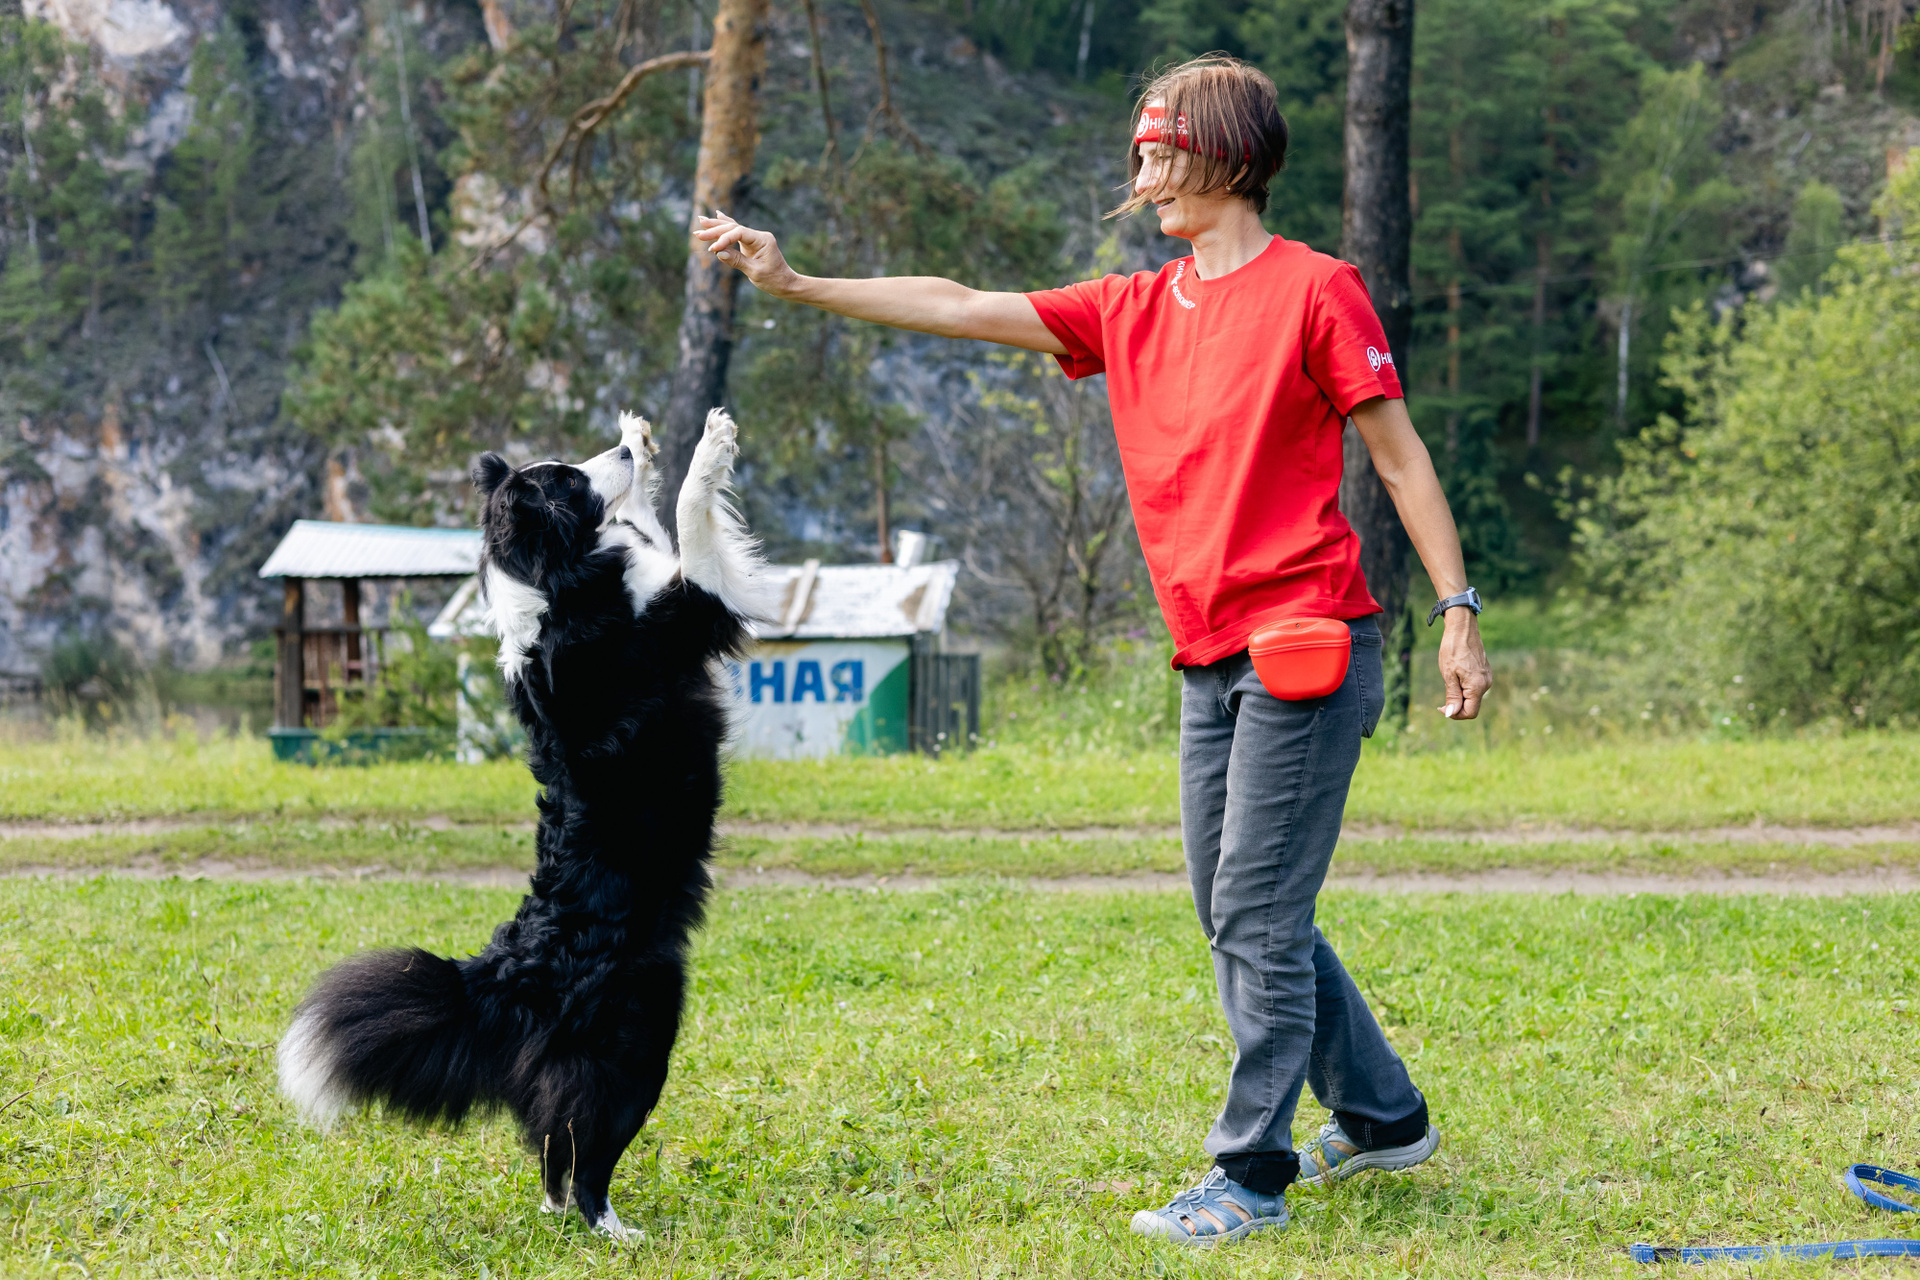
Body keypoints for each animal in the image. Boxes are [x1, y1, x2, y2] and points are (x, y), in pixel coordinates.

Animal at [277, 408, 767, 1239]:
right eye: (568, 481)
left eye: (577, 460)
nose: (625, 446)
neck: (552, 582)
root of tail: (509, 971)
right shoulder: (687, 608)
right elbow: (692, 528)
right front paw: (709, 446)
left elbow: (655, 525)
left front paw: (649, 450)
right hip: (641, 1033)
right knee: (583, 1144)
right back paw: (613, 1229)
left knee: (549, 1140)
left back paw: (561, 1210)